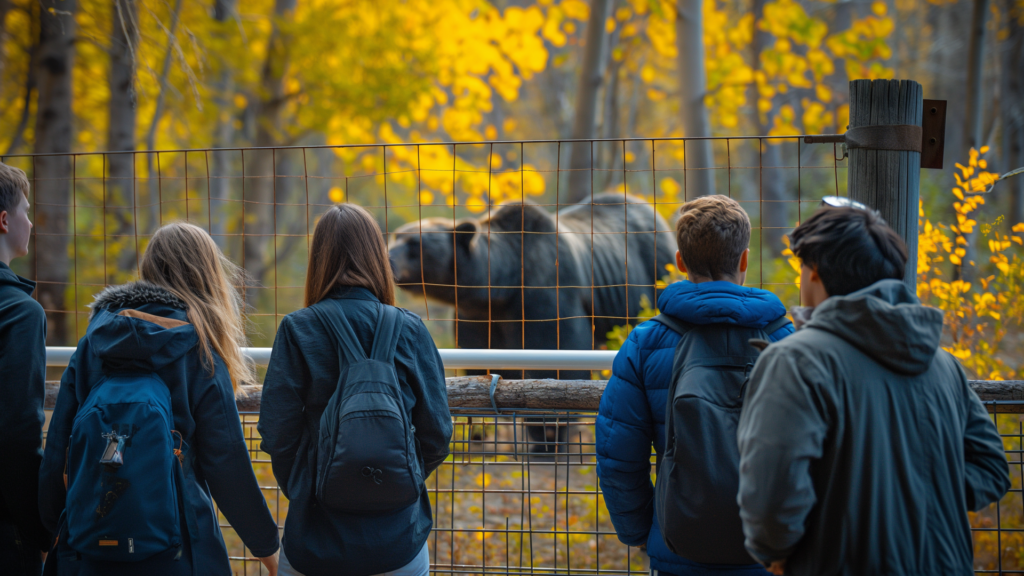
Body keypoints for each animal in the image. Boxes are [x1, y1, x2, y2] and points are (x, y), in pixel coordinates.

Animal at [389, 193, 676, 454]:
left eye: (414, 243)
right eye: (396, 236)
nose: (388, 258)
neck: (501, 289)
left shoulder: (543, 297)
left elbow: (556, 363)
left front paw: (548, 439)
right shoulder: (476, 317)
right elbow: (478, 365)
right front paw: (479, 432)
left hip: (655, 274)